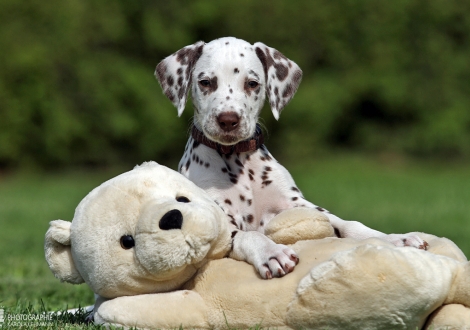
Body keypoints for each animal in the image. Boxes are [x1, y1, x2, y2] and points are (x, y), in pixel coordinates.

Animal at [156, 36, 428, 278]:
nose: (228, 120)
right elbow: (249, 235)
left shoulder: (298, 205)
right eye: (206, 82)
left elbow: (349, 224)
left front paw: (395, 239)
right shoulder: (223, 223)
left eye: (252, 83)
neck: (237, 159)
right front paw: (271, 252)